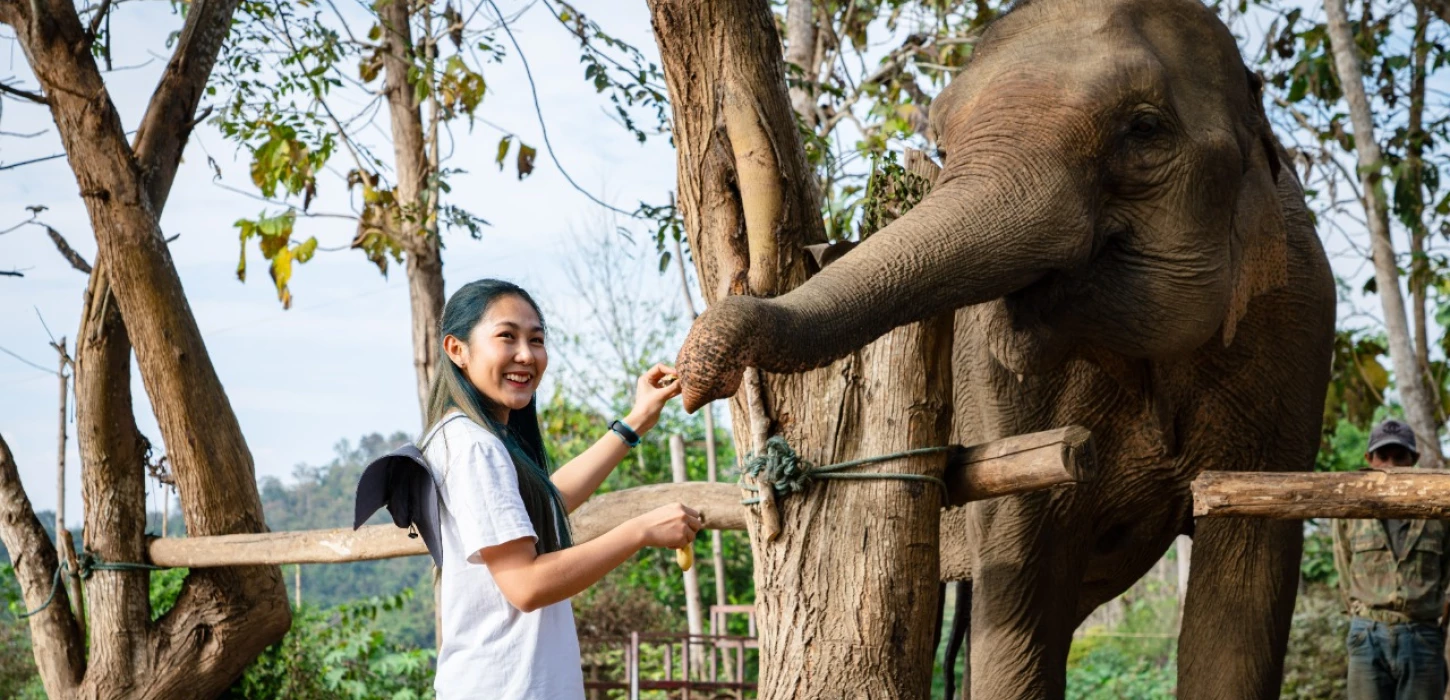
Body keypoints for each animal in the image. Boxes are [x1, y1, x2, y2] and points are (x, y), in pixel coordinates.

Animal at [678, 1, 1334, 700]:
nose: (689, 377)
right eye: (941, 147)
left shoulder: (1298, 325)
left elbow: (1243, 590)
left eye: (1145, 129)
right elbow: (1024, 576)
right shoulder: (991, 382)